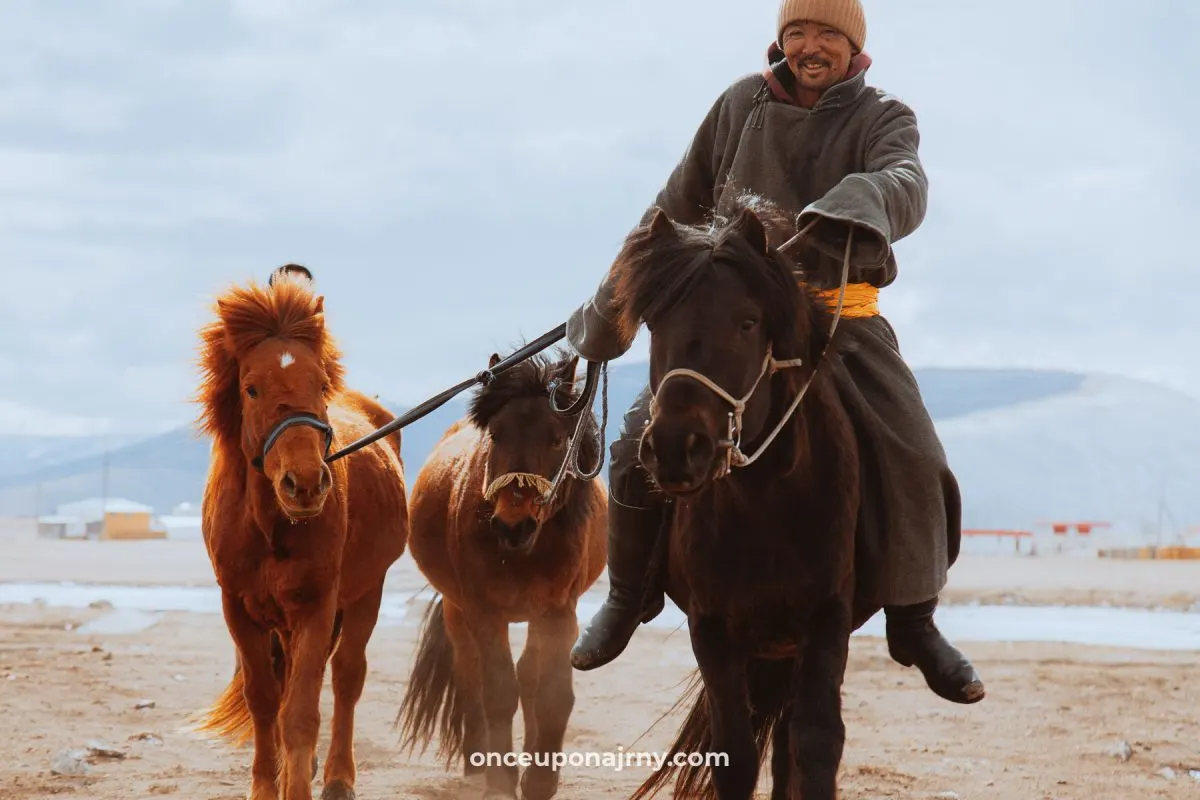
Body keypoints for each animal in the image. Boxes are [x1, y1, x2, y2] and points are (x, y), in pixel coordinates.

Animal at [192, 275, 408, 800]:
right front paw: (268, 786)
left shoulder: (316, 605)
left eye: (320, 384)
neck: (269, 527)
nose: (307, 483)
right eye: (250, 388)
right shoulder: (239, 608)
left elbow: (301, 713)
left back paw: (337, 777)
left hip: (366, 592)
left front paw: (298, 784)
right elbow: (264, 701)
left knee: (347, 677)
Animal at [396, 350, 604, 800]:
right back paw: (478, 764)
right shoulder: (484, 612)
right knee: (470, 676)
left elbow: (551, 695)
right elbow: (497, 692)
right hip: (458, 611)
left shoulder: (558, 612)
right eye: (495, 435)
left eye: (558, 438)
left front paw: (540, 780)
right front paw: (502, 778)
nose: (513, 526)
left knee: (527, 676)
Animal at [614, 200, 878, 800]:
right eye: (655, 322)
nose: (675, 448)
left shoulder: (826, 621)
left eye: (747, 322)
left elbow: (817, 742)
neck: (768, 502)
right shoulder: (713, 629)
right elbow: (733, 751)